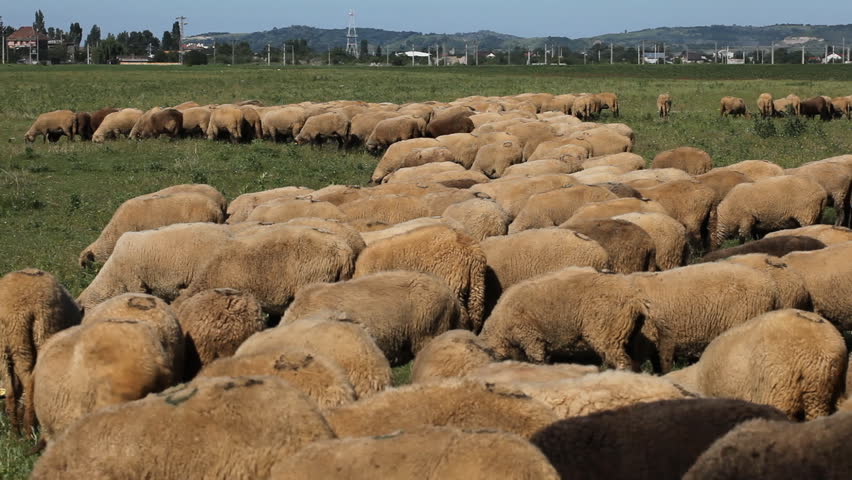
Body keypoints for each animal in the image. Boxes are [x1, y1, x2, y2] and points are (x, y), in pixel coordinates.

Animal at [0, 269, 80, 435]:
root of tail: (16, 314)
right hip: (40, 333)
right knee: (29, 384)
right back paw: (28, 430)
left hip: (6, 345)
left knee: (11, 389)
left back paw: (16, 432)